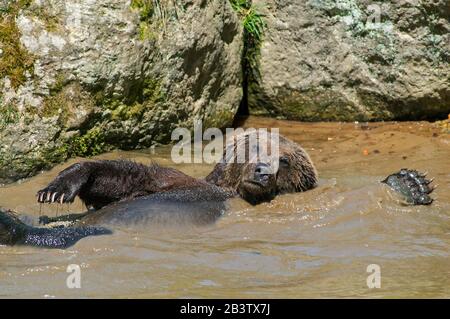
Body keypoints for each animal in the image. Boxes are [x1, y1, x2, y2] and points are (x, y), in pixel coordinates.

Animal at [0, 131, 318, 250]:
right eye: (256, 146)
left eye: (285, 161)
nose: (263, 171)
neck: (231, 190)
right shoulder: (172, 181)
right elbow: (126, 179)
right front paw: (57, 188)